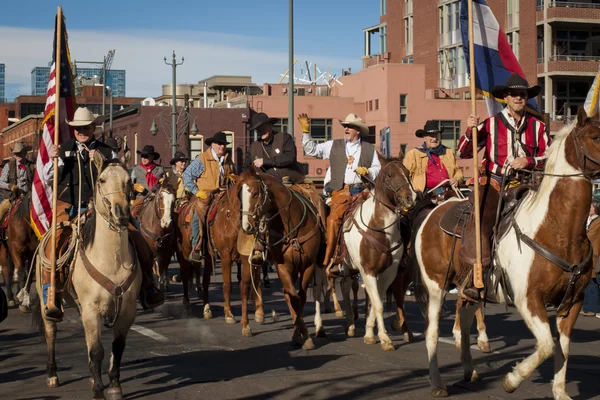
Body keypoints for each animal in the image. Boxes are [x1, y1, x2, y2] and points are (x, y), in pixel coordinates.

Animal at [239, 167, 326, 348]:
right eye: (240, 195)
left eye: (255, 193)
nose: (246, 226)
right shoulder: (283, 267)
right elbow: (294, 298)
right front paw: (304, 336)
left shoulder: (308, 266)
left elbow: (299, 297)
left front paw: (301, 335)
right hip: (247, 263)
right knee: (245, 288)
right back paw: (245, 326)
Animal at [414, 106, 596, 400]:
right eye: (594, 136)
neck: (556, 228)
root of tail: (433, 210)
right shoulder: (528, 300)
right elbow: (546, 345)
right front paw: (512, 380)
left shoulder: (573, 302)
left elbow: (562, 348)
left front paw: (560, 392)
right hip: (435, 287)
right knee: (431, 332)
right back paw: (437, 383)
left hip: (470, 287)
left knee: (465, 319)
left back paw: (470, 368)